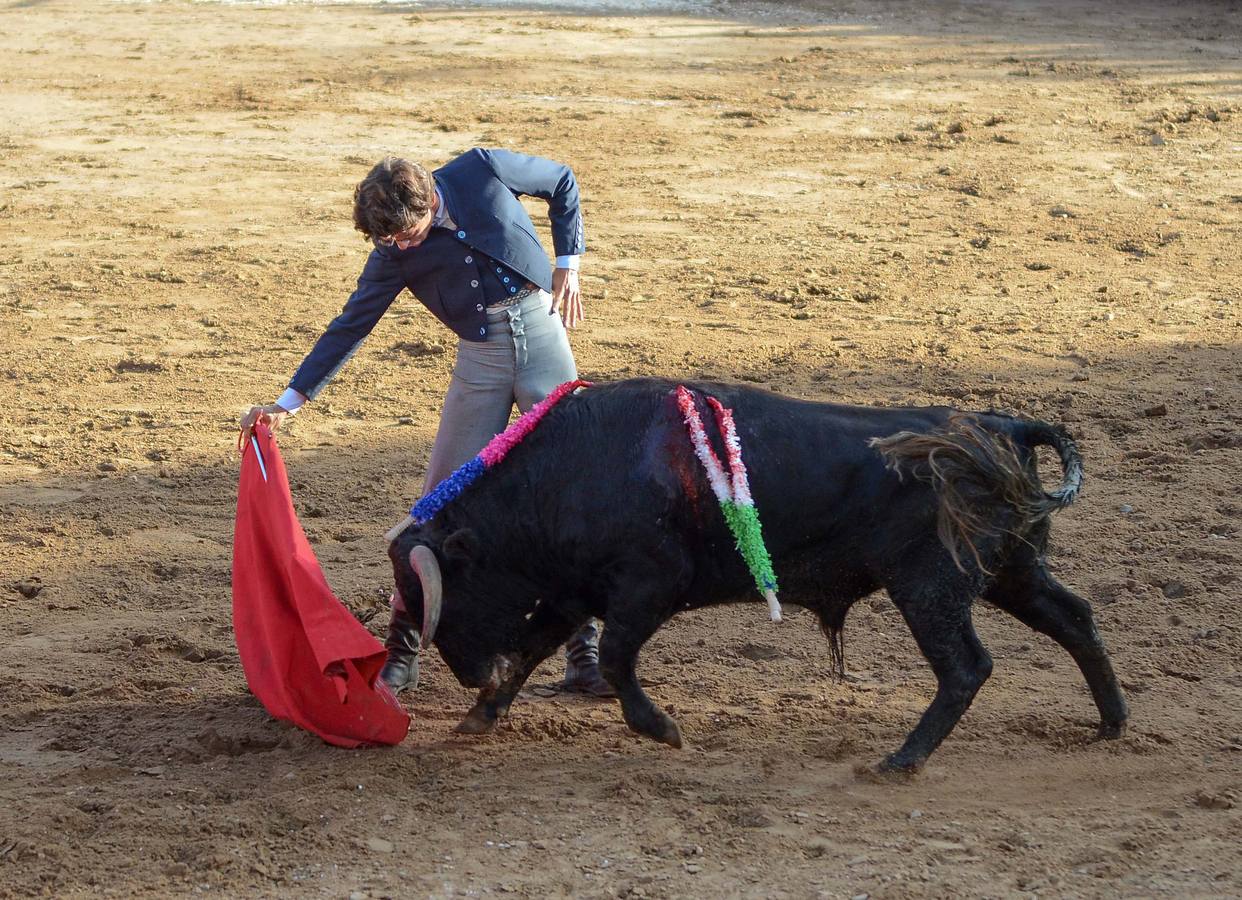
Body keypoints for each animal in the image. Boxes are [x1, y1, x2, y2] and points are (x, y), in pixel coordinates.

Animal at [387, 379, 1127, 774]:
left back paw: (902, 760)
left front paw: (660, 727)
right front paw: (482, 715)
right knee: (1075, 618)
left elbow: (619, 656)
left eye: (450, 599)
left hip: (931, 587)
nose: (471, 677)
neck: (564, 472)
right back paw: (1113, 724)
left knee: (967, 666)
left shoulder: (647, 584)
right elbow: (535, 648)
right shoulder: (576, 593)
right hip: (1010, 570)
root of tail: (1001, 426)